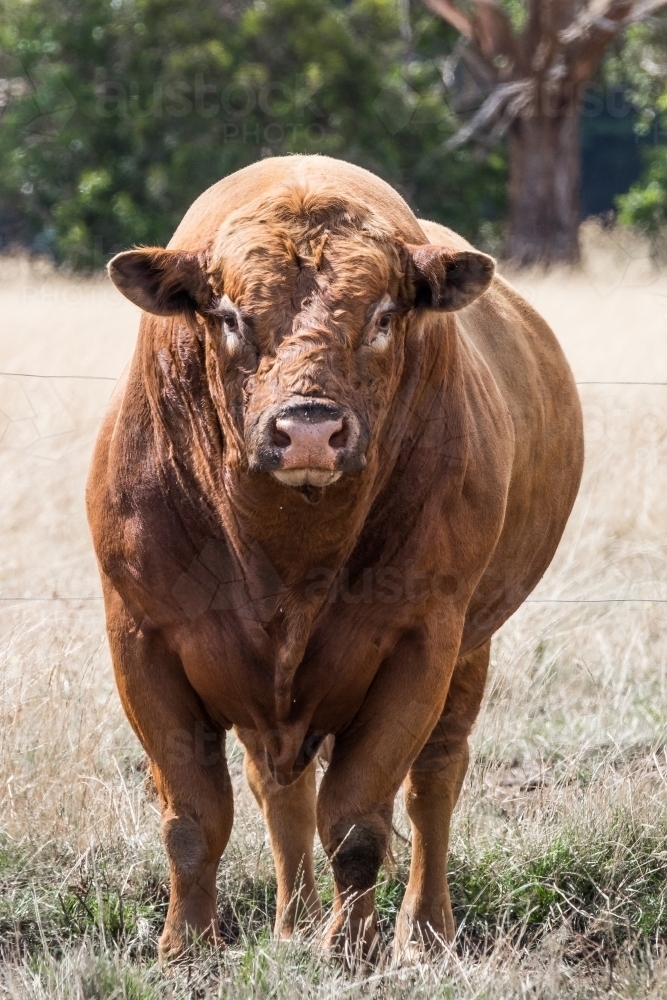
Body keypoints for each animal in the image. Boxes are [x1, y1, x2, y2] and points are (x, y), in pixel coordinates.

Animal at [86, 156, 580, 960]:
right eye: (229, 315)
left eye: (382, 317)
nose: (309, 430)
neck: (282, 552)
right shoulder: (142, 639)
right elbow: (193, 819)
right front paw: (185, 949)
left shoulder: (419, 644)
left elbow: (356, 822)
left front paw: (350, 949)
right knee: (280, 791)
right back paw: (292, 921)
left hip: (469, 650)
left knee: (434, 779)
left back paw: (425, 930)